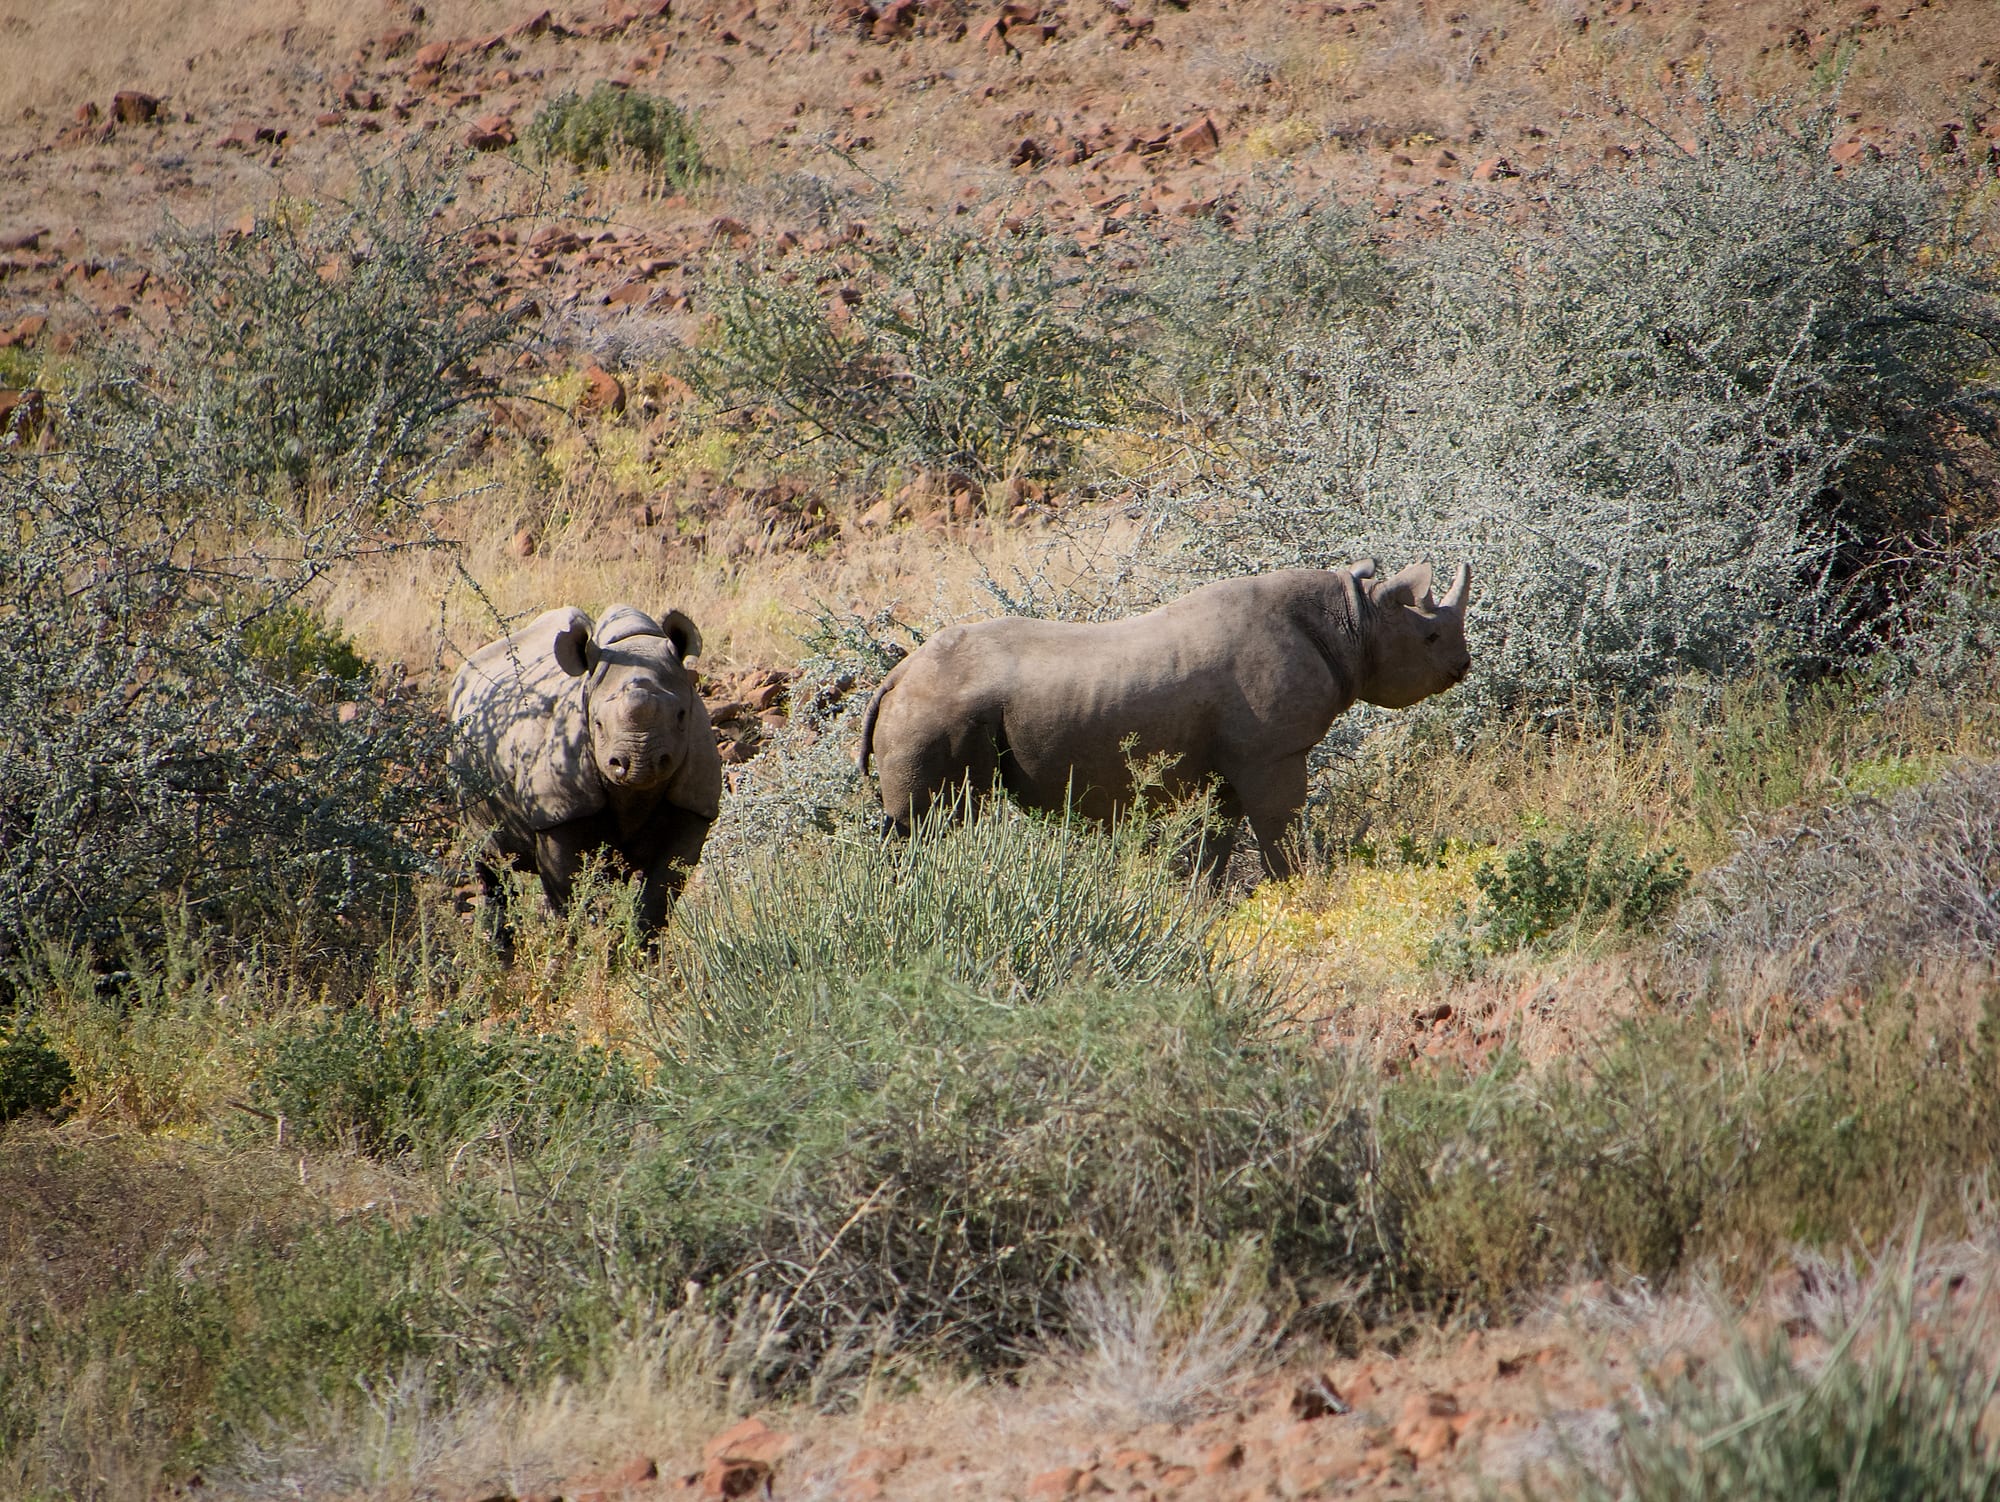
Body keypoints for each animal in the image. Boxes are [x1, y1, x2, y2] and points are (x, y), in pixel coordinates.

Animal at [449, 604, 721, 949]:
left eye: (682, 716)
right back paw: (498, 951)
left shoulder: (694, 804)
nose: (638, 764)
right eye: (598, 724)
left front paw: (639, 955)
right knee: (489, 859)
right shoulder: (560, 811)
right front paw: (583, 949)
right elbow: (570, 891)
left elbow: (658, 898)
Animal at [857, 561, 1472, 878]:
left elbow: (1217, 839)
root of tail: (896, 676)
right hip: (936, 710)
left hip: (934, 706)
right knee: (927, 823)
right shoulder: (1274, 753)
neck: (1356, 616)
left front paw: (1209, 904)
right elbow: (1280, 827)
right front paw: (1300, 889)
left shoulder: (1232, 762)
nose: (1463, 666)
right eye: (1430, 638)